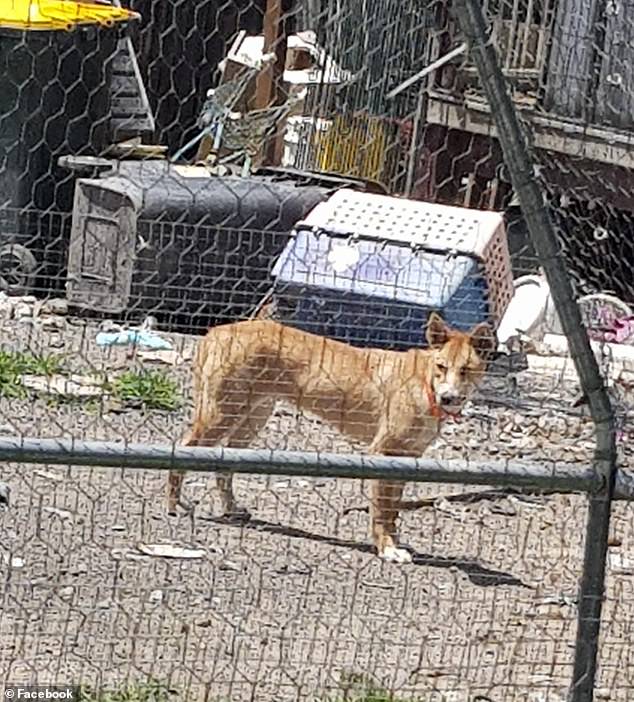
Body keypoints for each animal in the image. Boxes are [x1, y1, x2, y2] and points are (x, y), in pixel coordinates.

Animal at [165, 316, 492, 564]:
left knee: (224, 467)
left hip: (253, 419)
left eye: (466, 370)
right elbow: (381, 511)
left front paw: (395, 542)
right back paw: (173, 504)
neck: (424, 384)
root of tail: (217, 331)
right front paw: (386, 548)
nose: (448, 397)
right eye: (441, 366)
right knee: (183, 448)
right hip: (221, 415)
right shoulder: (384, 452)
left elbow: (393, 510)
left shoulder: (408, 458)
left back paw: (231, 508)